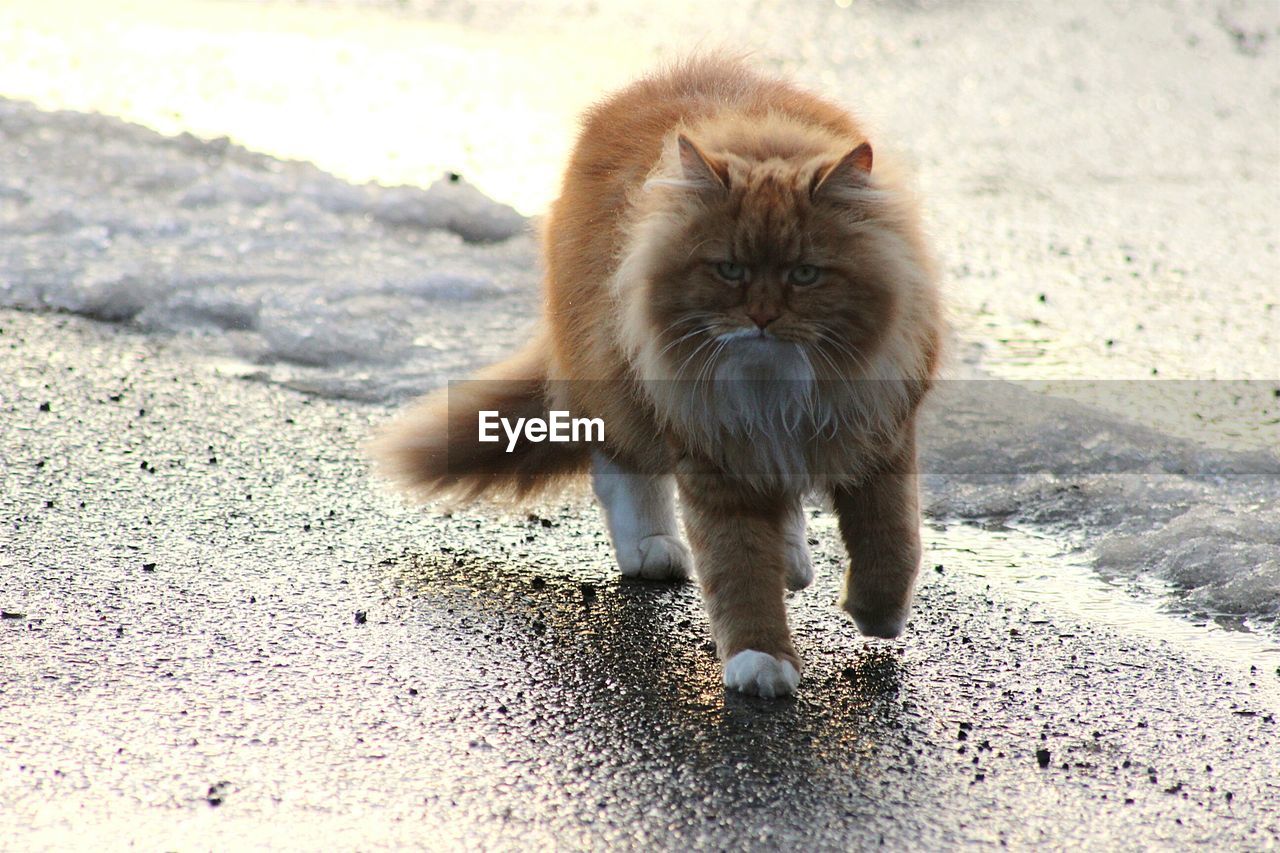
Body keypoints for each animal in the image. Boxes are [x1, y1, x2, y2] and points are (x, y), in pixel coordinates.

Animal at [371, 58, 942, 696]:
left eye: (804, 274)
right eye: (729, 269)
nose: (763, 318)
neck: (774, 382)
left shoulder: (881, 431)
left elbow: (891, 541)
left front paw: (878, 614)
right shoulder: (713, 450)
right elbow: (739, 568)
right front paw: (759, 660)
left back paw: (792, 558)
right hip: (617, 370)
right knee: (621, 466)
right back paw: (653, 548)